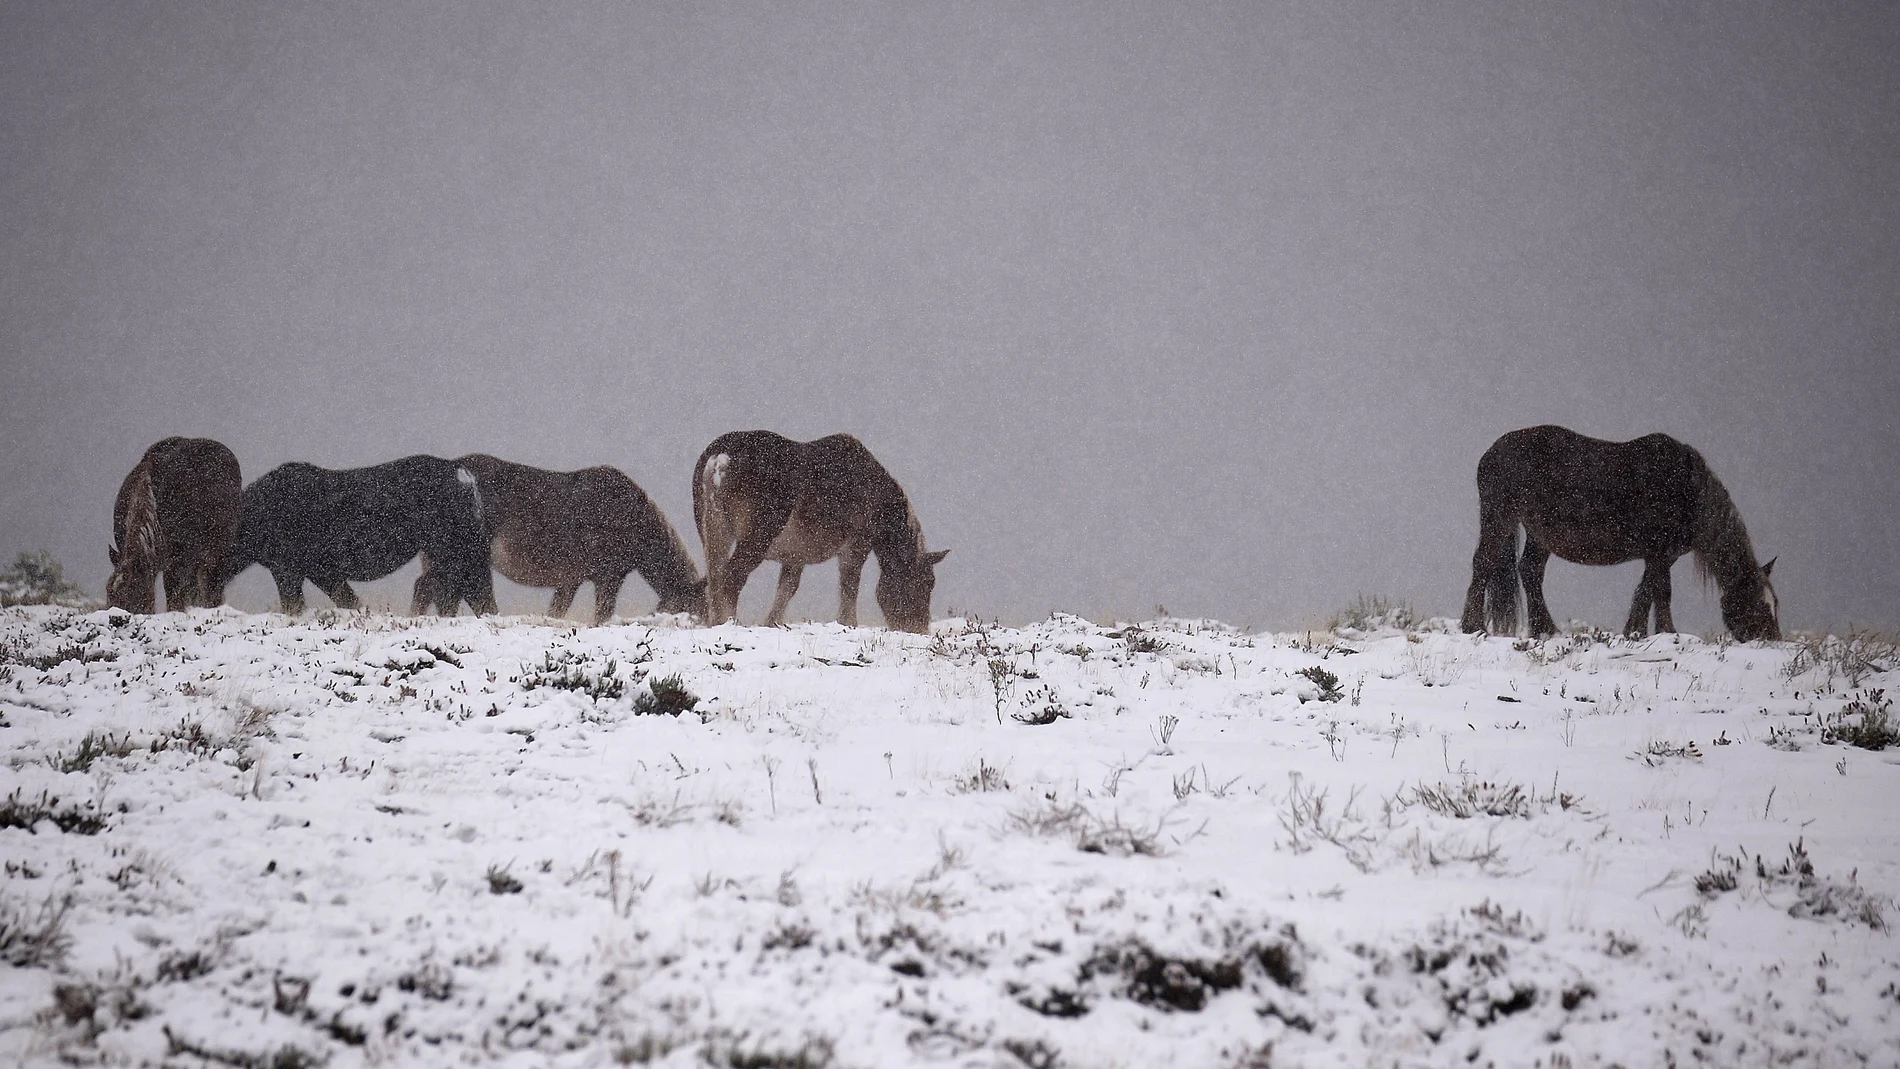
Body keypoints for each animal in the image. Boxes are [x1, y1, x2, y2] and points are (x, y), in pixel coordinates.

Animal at [226, 456, 497, 616]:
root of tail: (464, 475)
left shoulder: (287, 569)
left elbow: (295, 607)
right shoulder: (322, 572)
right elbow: (350, 602)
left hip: (458, 551)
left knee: (471, 591)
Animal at [413, 455, 705, 624]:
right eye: (697, 609)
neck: (633, 516)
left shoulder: (570, 580)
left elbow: (557, 611)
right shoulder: (608, 577)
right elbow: (601, 615)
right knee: (430, 589)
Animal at [693, 432, 948, 633]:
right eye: (927, 582)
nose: (919, 629)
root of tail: (721, 458)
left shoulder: (795, 557)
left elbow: (786, 590)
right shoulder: (856, 547)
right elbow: (849, 588)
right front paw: (848, 624)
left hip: (714, 536)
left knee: (715, 581)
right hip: (756, 539)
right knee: (731, 579)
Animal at [1459, 425, 1780, 641]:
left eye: (1774, 603)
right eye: (1757, 604)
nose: (1772, 640)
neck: (1687, 488)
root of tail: (1490, 452)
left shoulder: (1661, 556)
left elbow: (1645, 591)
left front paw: (1635, 632)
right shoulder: (1659, 553)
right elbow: (1662, 592)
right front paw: (1668, 633)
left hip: (1539, 535)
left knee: (1530, 571)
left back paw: (1546, 630)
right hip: (1500, 518)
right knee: (1483, 563)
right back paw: (1473, 627)